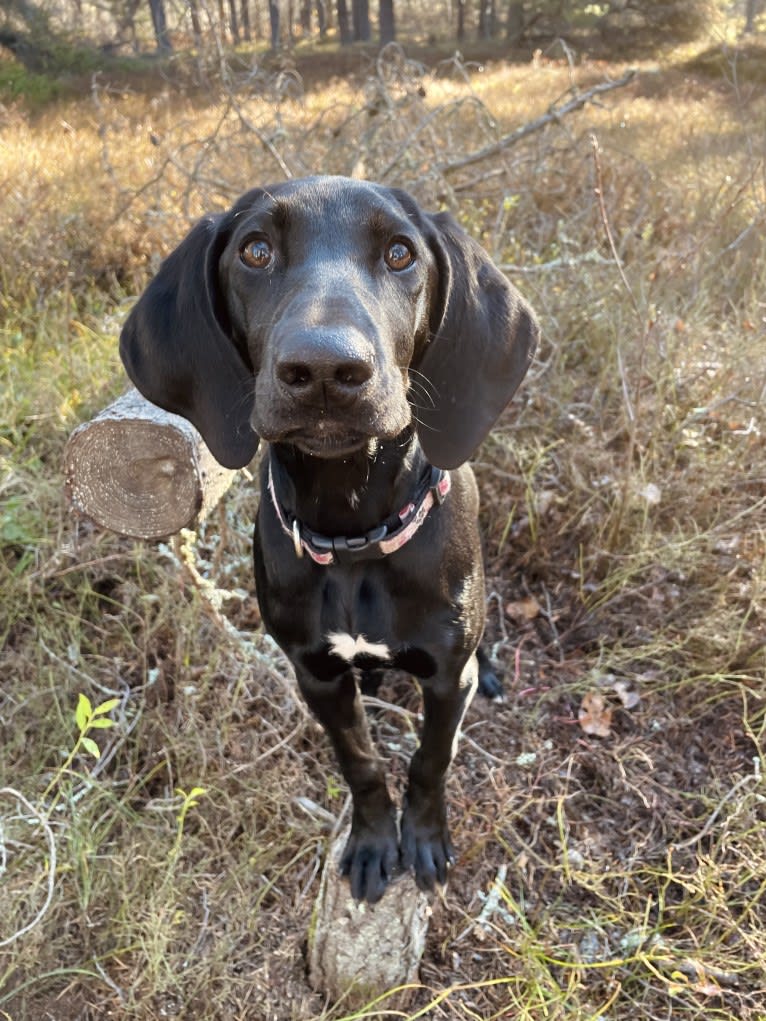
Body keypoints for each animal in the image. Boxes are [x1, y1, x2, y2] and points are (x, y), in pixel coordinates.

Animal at [121, 175, 539, 902]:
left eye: (401, 253)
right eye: (255, 250)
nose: (323, 369)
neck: (355, 538)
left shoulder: (442, 679)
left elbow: (430, 760)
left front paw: (423, 839)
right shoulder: (315, 675)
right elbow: (362, 762)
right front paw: (374, 843)